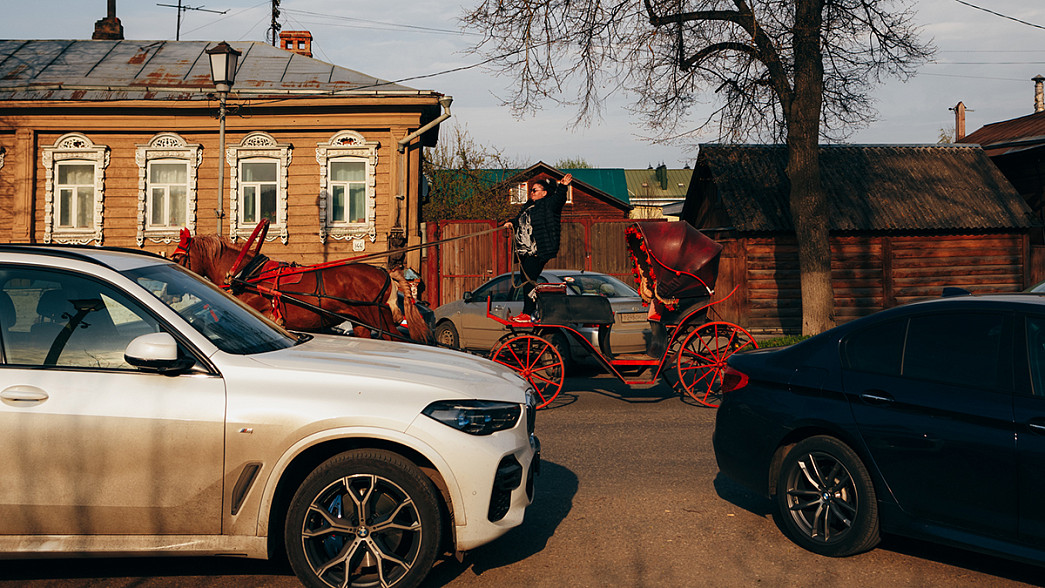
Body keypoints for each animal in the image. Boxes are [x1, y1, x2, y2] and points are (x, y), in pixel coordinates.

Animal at [172, 227, 432, 342]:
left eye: (177, 257)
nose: (171, 290)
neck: (246, 275)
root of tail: (383, 272)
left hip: (380, 320)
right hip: (361, 324)